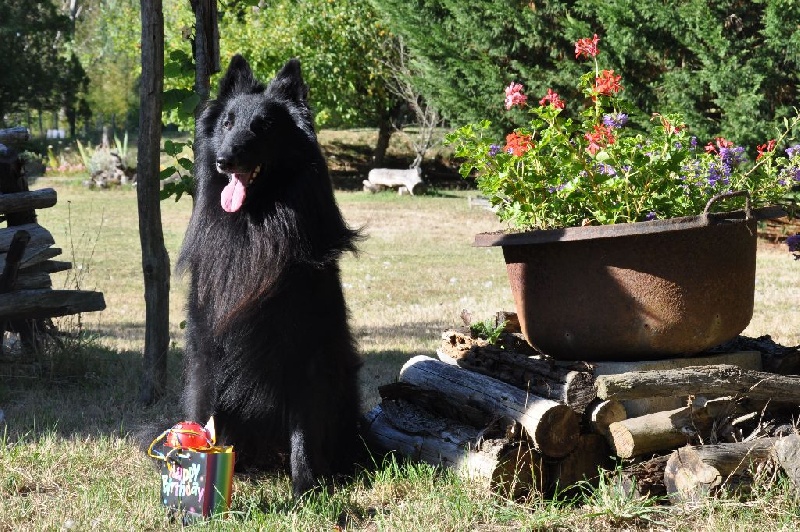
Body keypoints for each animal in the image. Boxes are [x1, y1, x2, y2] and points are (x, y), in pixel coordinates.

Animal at [178, 56, 362, 496]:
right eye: (227, 123)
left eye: (262, 127)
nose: (224, 160)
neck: (254, 227)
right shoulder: (206, 340)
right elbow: (204, 407)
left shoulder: (307, 348)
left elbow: (304, 425)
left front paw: (306, 488)